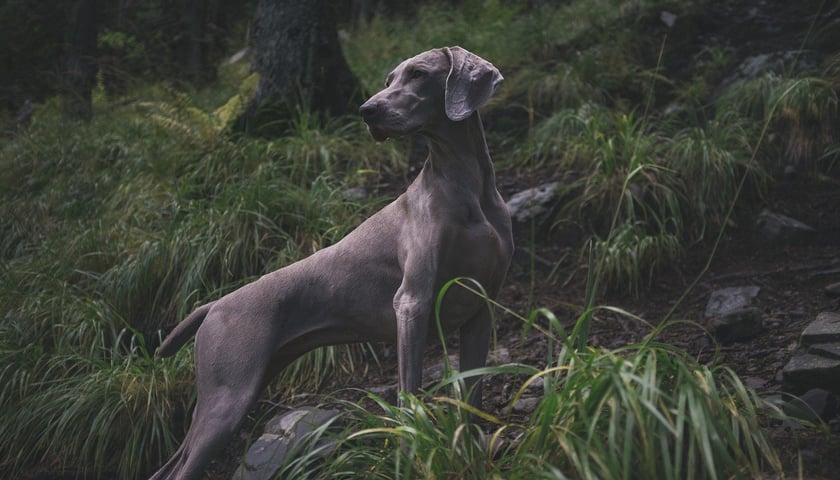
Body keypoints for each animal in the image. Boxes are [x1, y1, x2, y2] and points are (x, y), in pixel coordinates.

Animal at [149, 46, 512, 480]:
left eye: (419, 74)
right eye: (389, 79)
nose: (366, 110)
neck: (465, 185)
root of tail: (213, 304)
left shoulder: (481, 308)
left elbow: (472, 396)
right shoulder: (412, 303)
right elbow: (409, 396)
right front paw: (411, 455)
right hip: (226, 398)